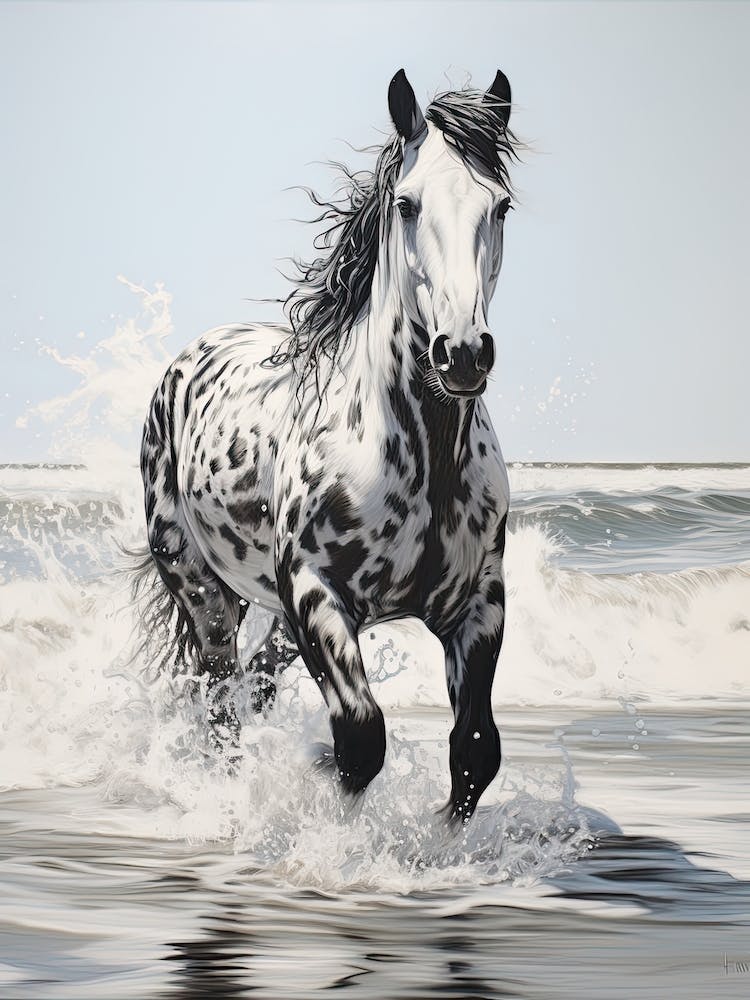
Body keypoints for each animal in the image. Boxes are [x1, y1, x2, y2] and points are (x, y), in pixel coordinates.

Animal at [139, 69, 519, 824]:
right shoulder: (317, 593)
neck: (418, 455)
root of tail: (185, 362)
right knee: (221, 701)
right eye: (406, 204)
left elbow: (475, 753)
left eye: (501, 206)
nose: (462, 353)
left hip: (277, 617)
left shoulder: (478, 604)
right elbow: (360, 742)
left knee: (252, 686)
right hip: (204, 589)